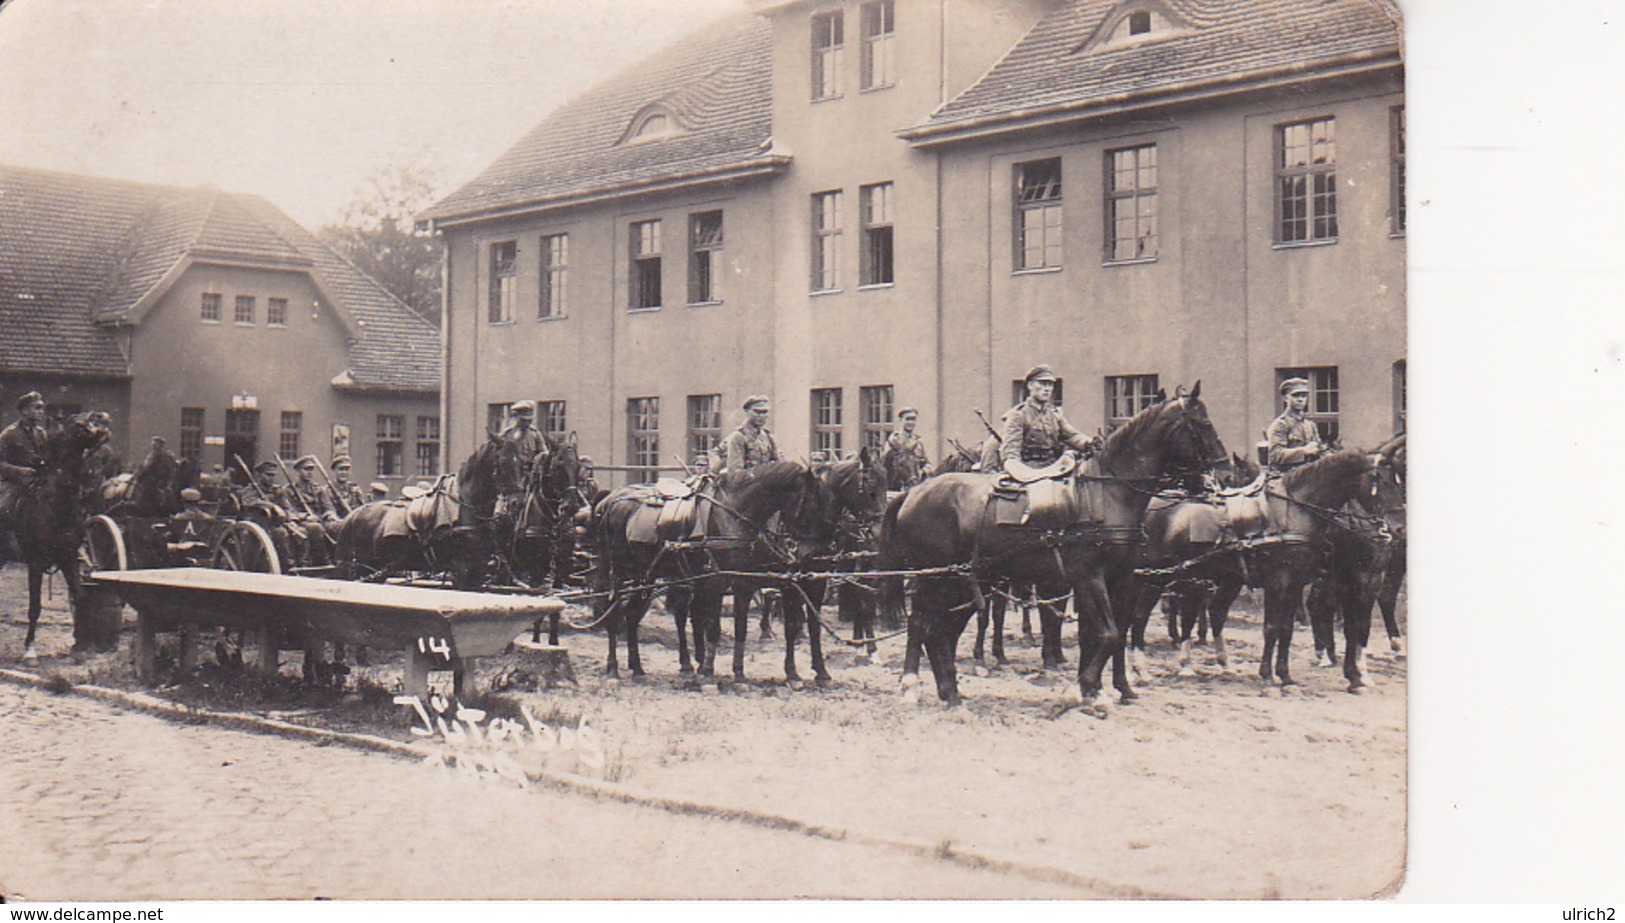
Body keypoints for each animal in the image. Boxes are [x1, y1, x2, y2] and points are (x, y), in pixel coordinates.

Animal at [884, 385, 1222, 711]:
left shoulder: (1121, 578)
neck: (1109, 492)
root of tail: (914, 492)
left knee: (940, 630)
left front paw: (1110, 689)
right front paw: (1079, 690)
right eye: (1203, 425)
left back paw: (948, 691)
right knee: (925, 626)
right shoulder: (1089, 578)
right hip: (937, 579)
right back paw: (923, 688)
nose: (1220, 476)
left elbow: (1108, 634)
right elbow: (1108, 634)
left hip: (962, 583)